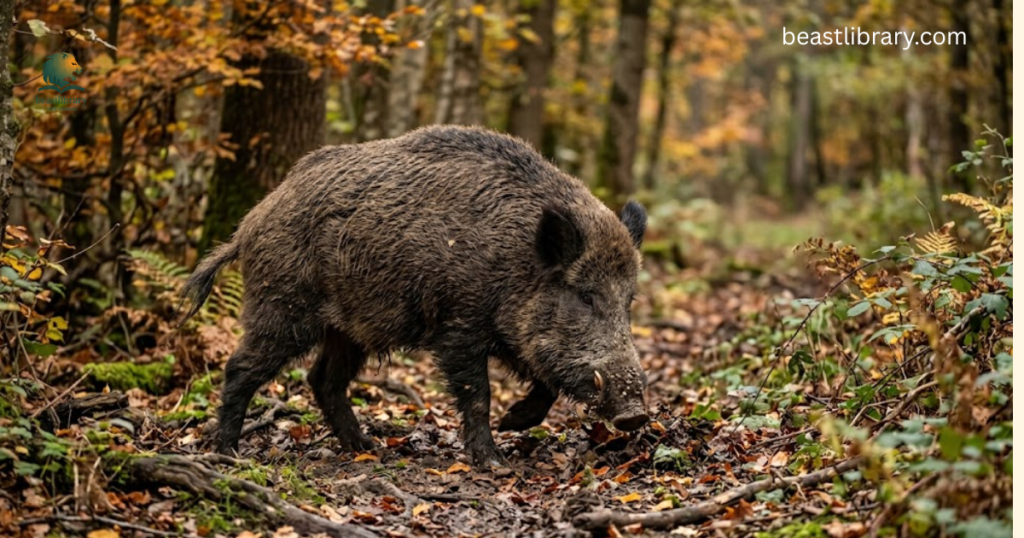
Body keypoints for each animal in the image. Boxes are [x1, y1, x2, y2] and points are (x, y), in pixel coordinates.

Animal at [181, 125, 649, 467]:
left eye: (629, 301)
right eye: (586, 296)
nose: (636, 413)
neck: (518, 261)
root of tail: (250, 223)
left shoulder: (513, 336)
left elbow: (546, 383)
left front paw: (513, 423)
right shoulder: (460, 325)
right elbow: (477, 394)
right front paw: (493, 460)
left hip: (347, 328)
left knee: (323, 379)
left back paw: (366, 447)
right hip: (282, 306)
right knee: (241, 367)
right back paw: (228, 454)